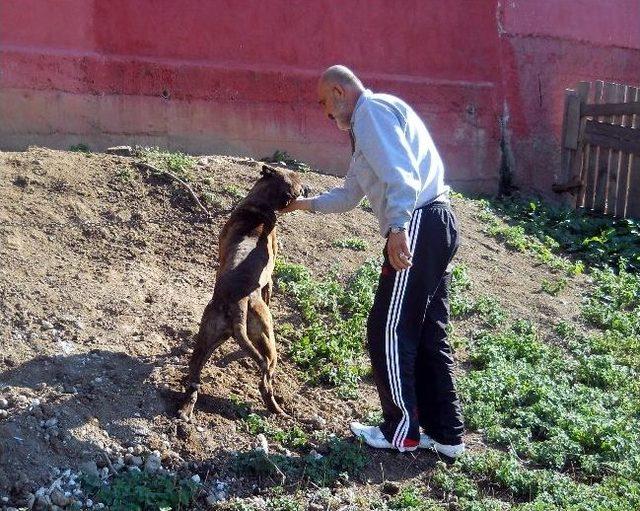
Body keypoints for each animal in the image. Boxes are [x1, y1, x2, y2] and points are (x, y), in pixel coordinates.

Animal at [179, 164, 308, 420]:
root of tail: (236, 305)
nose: (308, 188)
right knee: (265, 381)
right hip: (267, 342)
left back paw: (186, 409)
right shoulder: (270, 278)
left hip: (207, 337)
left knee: (194, 376)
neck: (260, 206)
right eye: (298, 180)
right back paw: (279, 411)